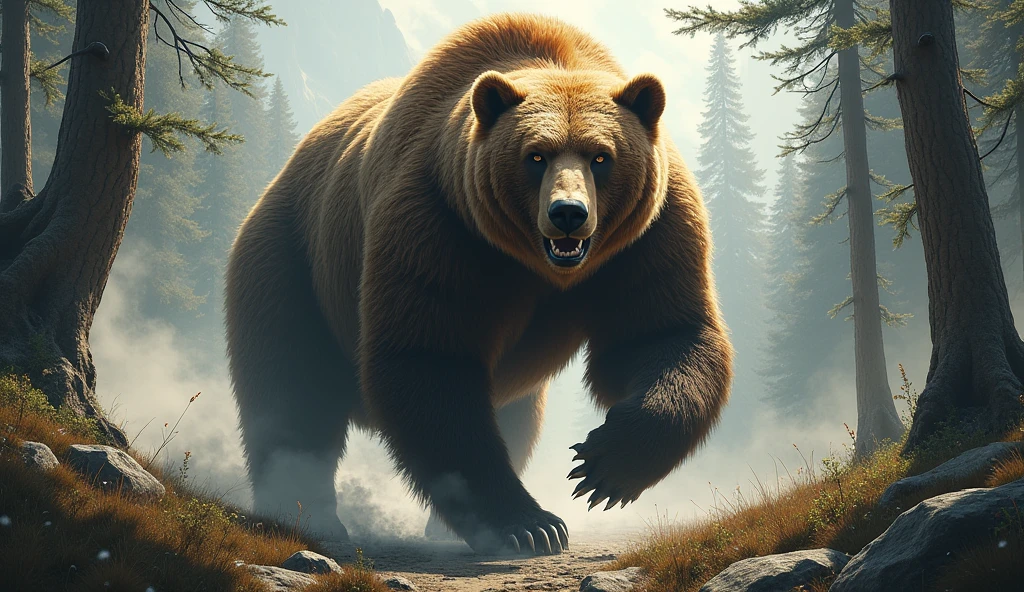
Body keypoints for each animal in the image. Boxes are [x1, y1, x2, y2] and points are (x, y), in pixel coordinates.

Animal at [224, 12, 733, 555]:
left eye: (601, 157)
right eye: (536, 156)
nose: (568, 214)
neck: (538, 264)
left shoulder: (647, 235)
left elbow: (661, 334)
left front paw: (604, 465)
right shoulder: (440, 221)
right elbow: (430, 361)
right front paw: (530, 524)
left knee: (517, 418)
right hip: (293, 258)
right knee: (291, 392)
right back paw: (304, 512)